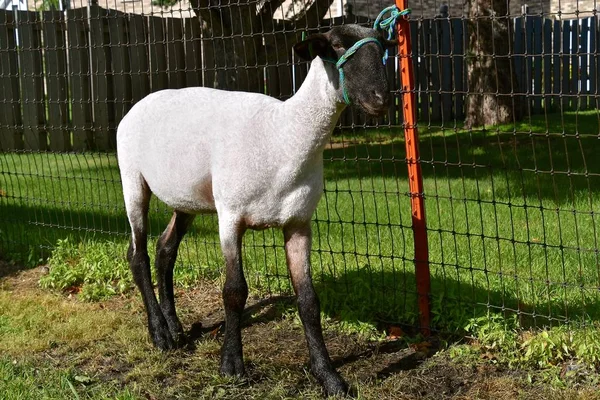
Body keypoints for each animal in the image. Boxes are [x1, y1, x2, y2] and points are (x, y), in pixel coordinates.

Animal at [117, 25, 394, 396]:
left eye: (381, 46)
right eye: (335, 45)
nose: (380, 99)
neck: (284, 136)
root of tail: (140, 103)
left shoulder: (299, 223)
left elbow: (308, 300)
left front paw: (330, 378)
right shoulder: (231, 216)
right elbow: (234, 292)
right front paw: (232, 365)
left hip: (187, 197)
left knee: (165, 249)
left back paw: (174, 326)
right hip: (132, 180)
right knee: (138, 254)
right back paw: (160, 335)